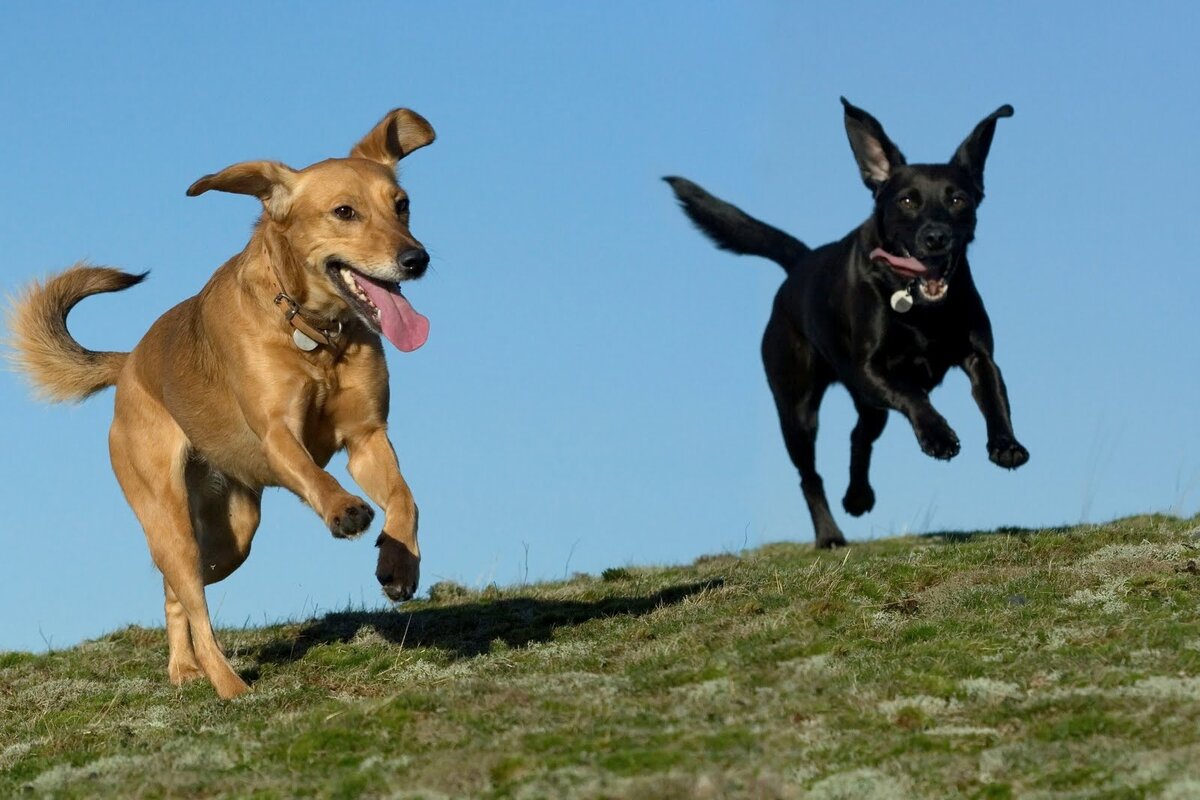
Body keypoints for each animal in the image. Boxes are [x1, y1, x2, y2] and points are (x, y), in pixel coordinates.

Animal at [7, 109, 439, 695]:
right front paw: (344, 509)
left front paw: (399, 564)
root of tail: (131, 362)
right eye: (344, 212)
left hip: (233, 535)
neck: (312, 333)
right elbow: (317, 475)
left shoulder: (368, 437)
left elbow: (405, 499)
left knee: (176, 592)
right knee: (194, 601)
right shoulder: (278, 434)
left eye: (402, 204)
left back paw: (184, 668)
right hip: (170, 520)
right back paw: (229, 686)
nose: (416, 259)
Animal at [672, 97, 1027, 546]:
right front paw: (938, 436)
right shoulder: (870, 369)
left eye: (958, 200)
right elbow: (914, 395)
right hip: (797, 411)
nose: (936, 237)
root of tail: (801, 263)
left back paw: (858, 497)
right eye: (907, 201)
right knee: (810, 475)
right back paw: (829, 535)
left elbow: (994, 396)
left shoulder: (978, 356)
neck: (916, 303)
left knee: (860, 437)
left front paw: (1005, 445)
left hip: (864, 406)